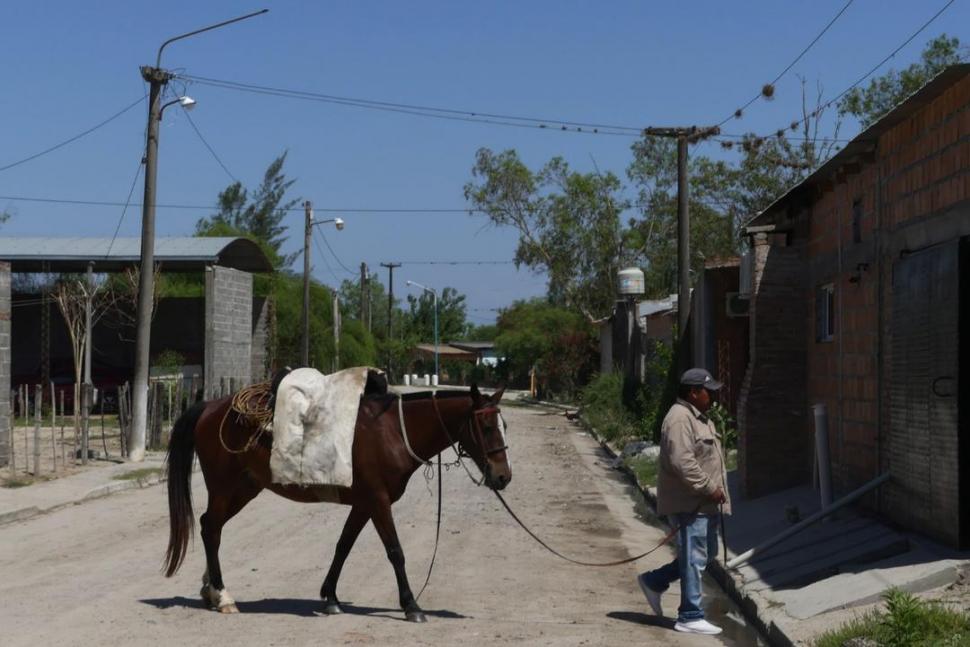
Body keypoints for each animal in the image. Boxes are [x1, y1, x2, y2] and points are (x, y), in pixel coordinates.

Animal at [163, 378, 510, 624]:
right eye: (486, 427)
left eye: (504, 426)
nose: (503, 476)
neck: (393, 432)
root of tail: (211, 407)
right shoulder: (378, 500)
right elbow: (395, 552)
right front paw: (412, 605)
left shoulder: (364, 503)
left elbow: (343, 545)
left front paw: (330, 597)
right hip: (224, 487)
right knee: (211, 530)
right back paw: (223, 596)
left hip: (245, 488)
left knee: (210, 526)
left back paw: (210, 590)